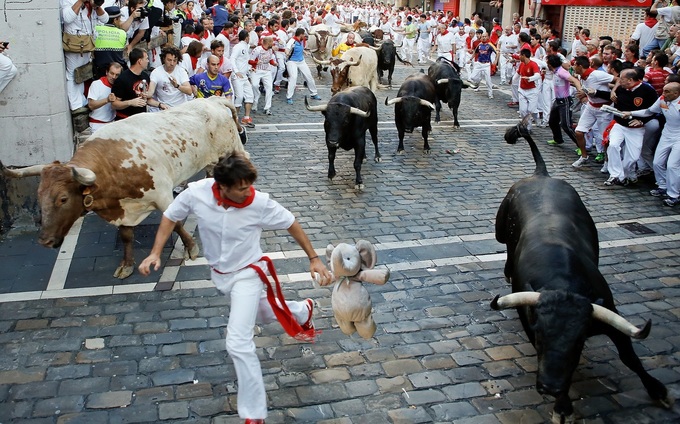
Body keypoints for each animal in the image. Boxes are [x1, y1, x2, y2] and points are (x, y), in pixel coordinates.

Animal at [2, 97, 247, 280]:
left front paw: (191, 248)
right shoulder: (122, 209)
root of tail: (213, 100)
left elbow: (175, 224)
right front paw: (127, 264)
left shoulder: (162, 195)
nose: (44, 240)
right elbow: (126, 235)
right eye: (39, 195)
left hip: (233, 150)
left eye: (63, 198)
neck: (111, 165)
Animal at [488, 118, 668, 420]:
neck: (562, 281)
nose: (549, 386)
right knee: (507, 248)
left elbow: (629, 356)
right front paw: (562, 406)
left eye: (578, 341)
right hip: (501, 230)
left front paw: (658, 390)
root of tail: (541, 175)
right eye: (540, 335)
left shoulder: (608, 315)